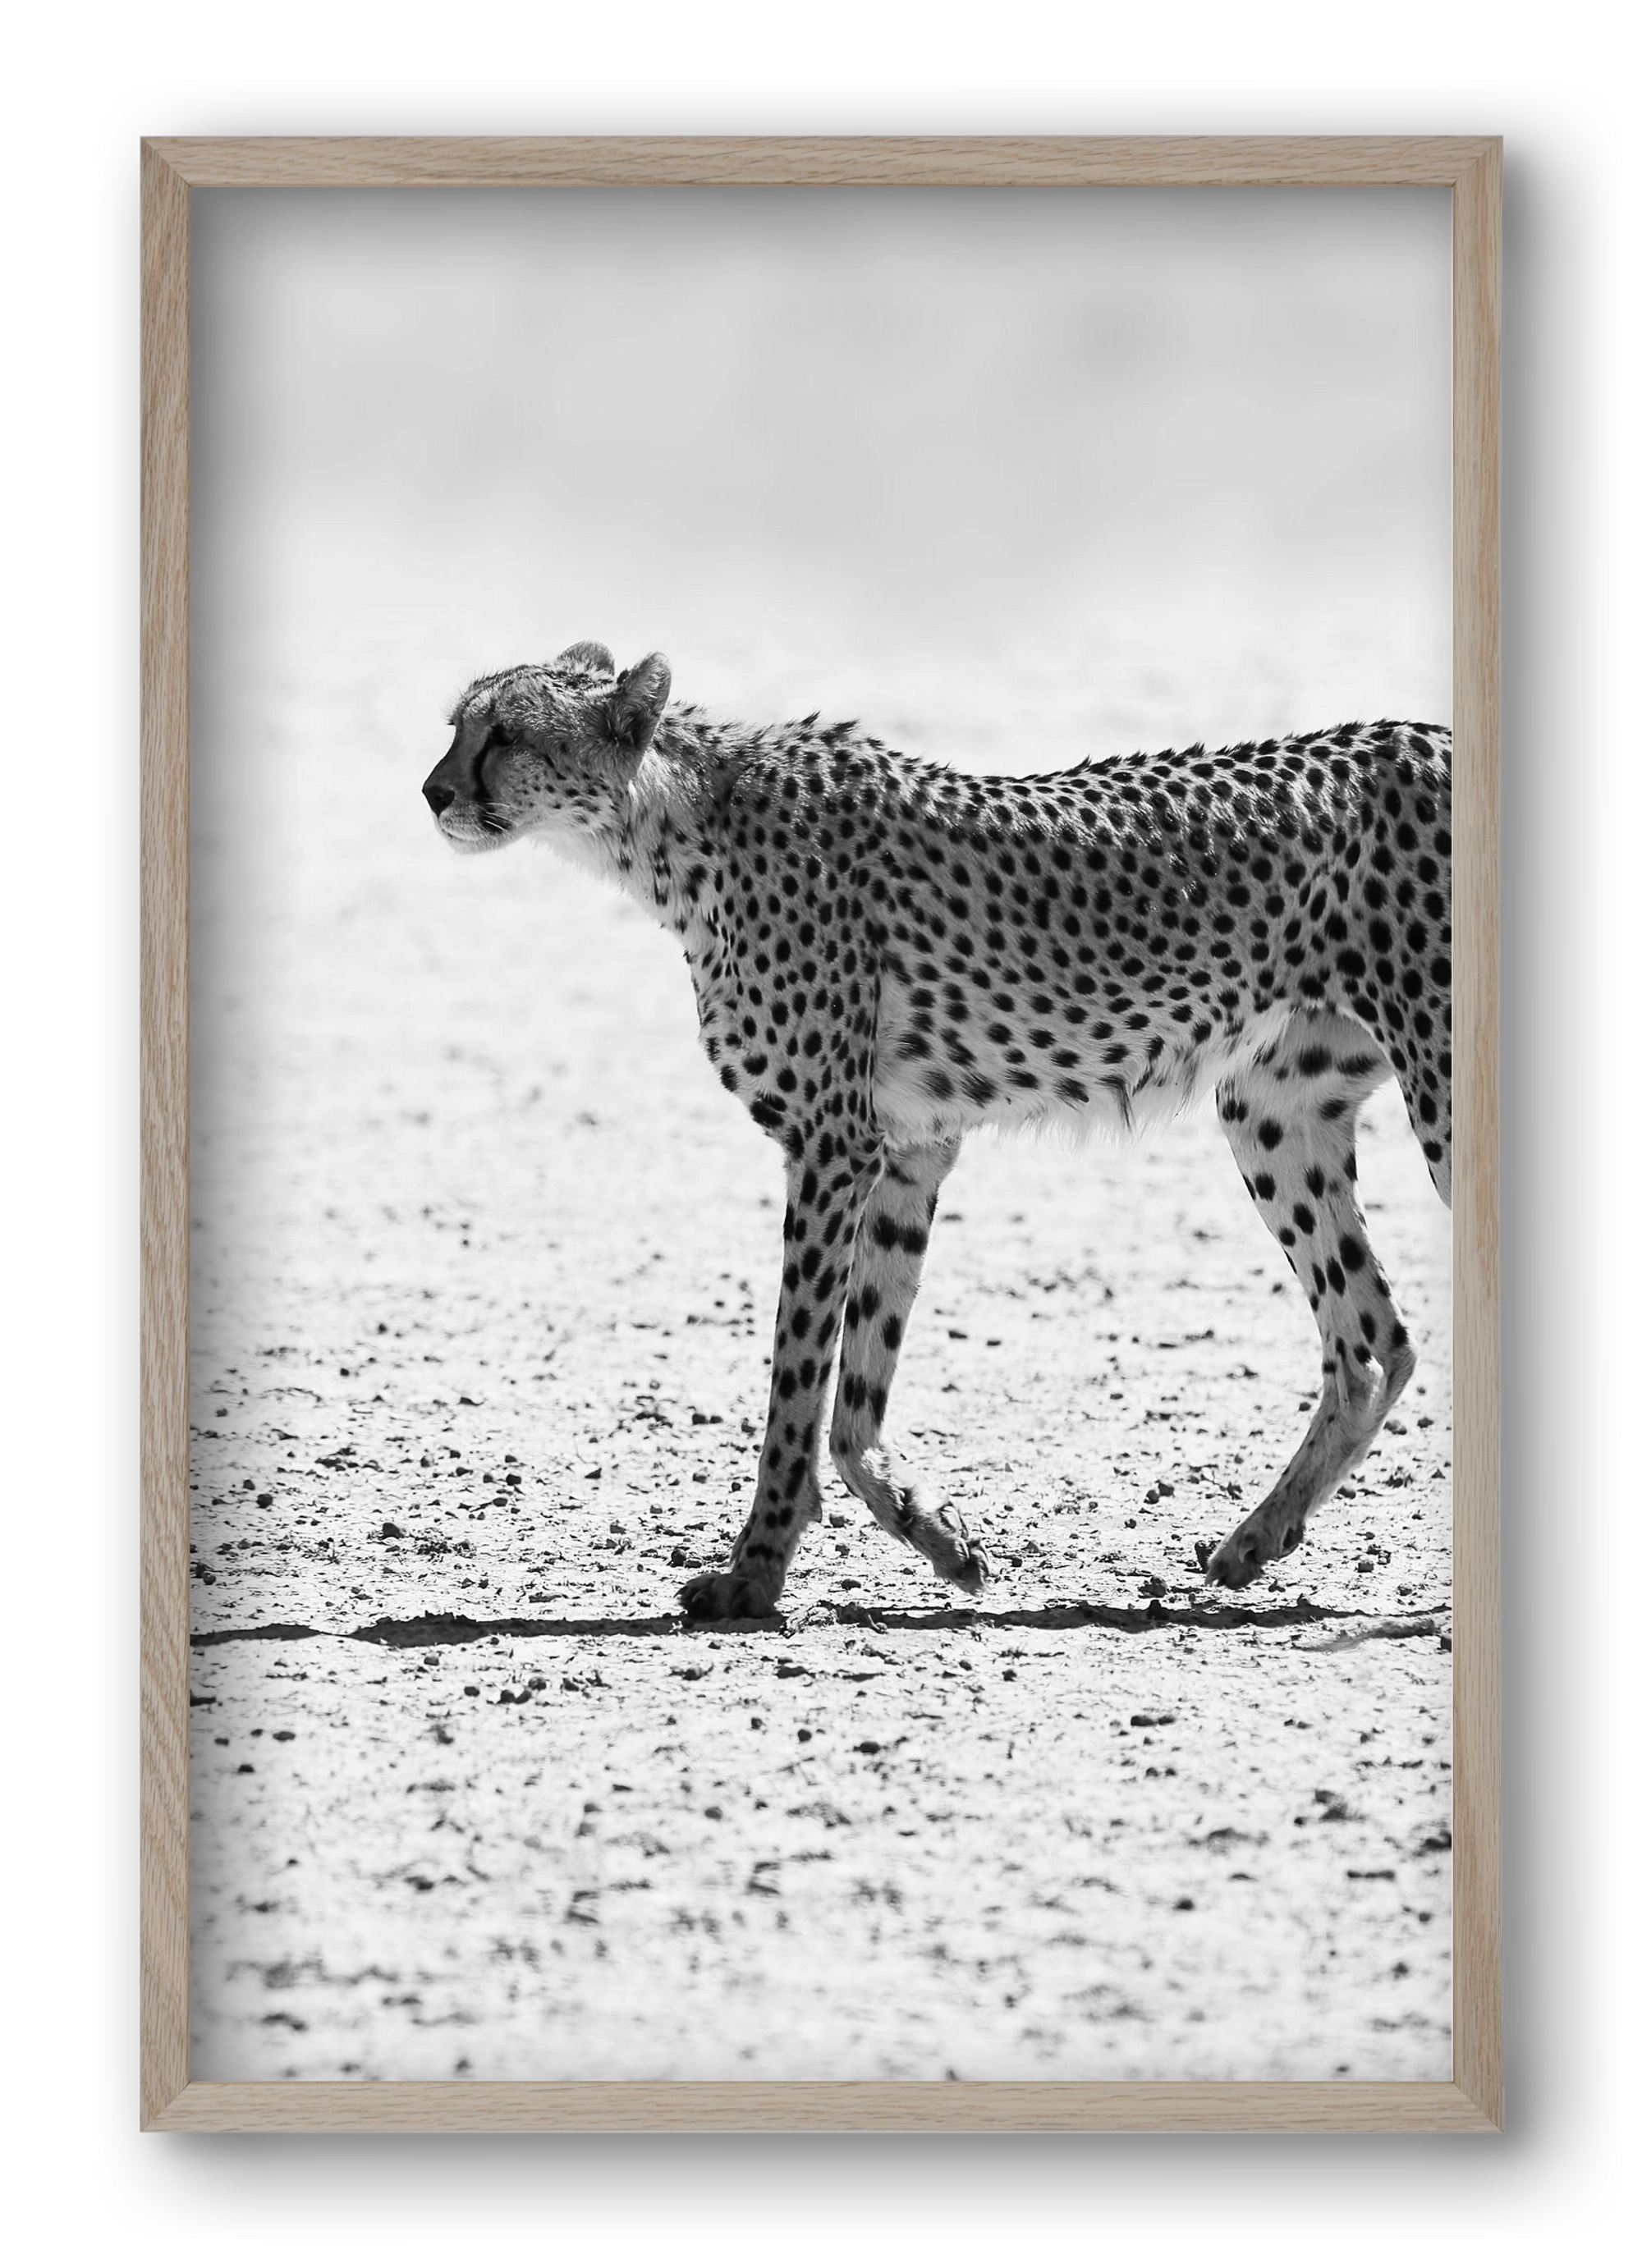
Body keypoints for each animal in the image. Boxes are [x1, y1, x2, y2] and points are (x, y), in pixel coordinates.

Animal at [423, 641, 1452, 1618]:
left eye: (505, 734)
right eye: (456, 726)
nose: (433, 792)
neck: (671, 824)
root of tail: (1427, 731)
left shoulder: (830, 1146)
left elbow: (796, 1381)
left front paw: (753, 1575)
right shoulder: (906, 1150)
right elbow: (854, 1397)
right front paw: (940, 1540)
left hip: (1435, 1092)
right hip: (1270, 1109)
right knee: (1371, 1342)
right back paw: (1254, 1540)